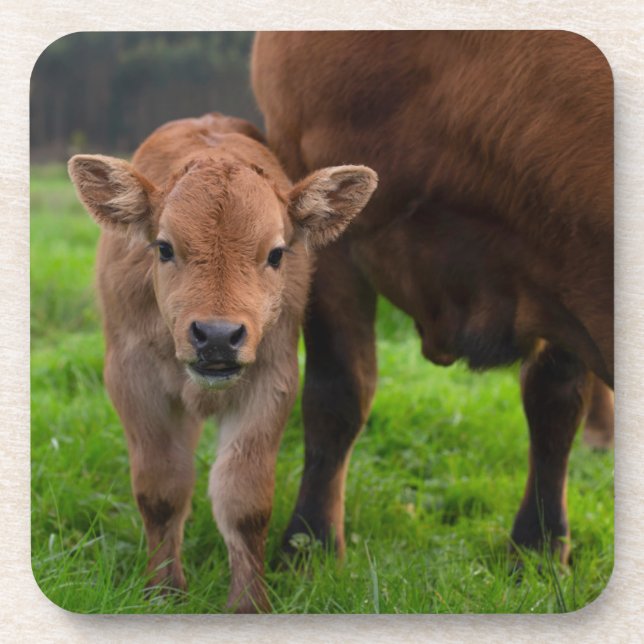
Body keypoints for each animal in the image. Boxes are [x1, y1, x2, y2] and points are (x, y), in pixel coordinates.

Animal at [67, 112, 377, 612]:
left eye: (276, 253)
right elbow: (161, 489)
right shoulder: (133, 382)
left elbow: (244, 501)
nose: (215, 336)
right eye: (164, 248)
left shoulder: (271, 382)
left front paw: (249, 604)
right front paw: (163, 593)